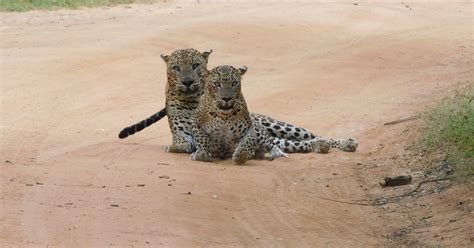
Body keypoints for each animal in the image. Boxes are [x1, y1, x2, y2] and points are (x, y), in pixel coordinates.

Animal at [116, 48, 358, 155]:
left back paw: (344, 142)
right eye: (175, 67)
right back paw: (322, 146)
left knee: (309, 135)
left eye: (195, 65)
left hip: (279, 126)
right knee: (296, 144)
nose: (187, 82)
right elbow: (183, 142)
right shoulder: (184, 132)